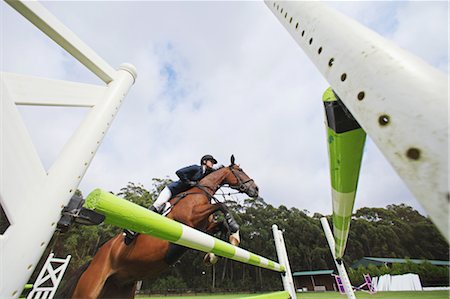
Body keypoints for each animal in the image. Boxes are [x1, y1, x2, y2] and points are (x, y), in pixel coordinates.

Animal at [58, 156, 258, 298]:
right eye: (240, 170)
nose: (255, 189)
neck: (200, 191)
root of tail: (93, 260)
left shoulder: (202, 229)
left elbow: (220, 225)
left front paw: (217, 251)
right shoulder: (189, 219)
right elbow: (222, 205)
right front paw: (233, 233)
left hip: (119, 290)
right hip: (89, 289)